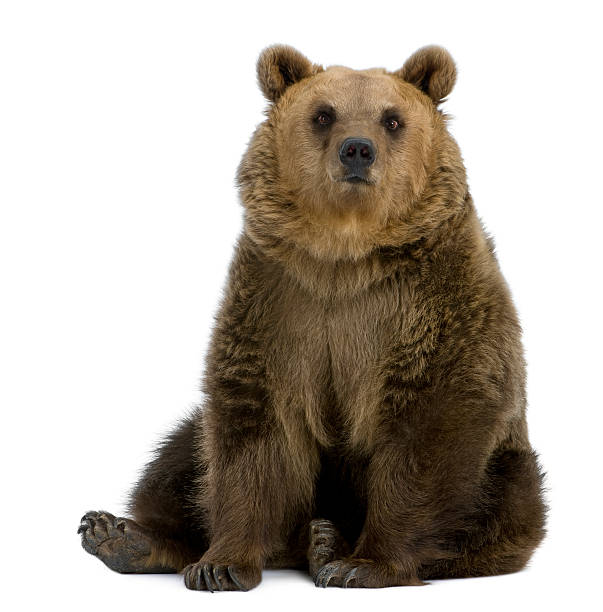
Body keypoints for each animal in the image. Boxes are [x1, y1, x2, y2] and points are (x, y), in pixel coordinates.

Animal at [79, 45, 548, 592]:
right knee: (180, 455)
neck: (343, 256)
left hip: (508, 467)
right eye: (323, 114)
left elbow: (430, 425)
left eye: (392, 119)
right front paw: (220, 564)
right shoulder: (278, 303)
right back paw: (122, 536)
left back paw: (328, 542)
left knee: (501, 505)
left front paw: (365, 564)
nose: (357, 149)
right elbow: (251, 430)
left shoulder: (434, 301)